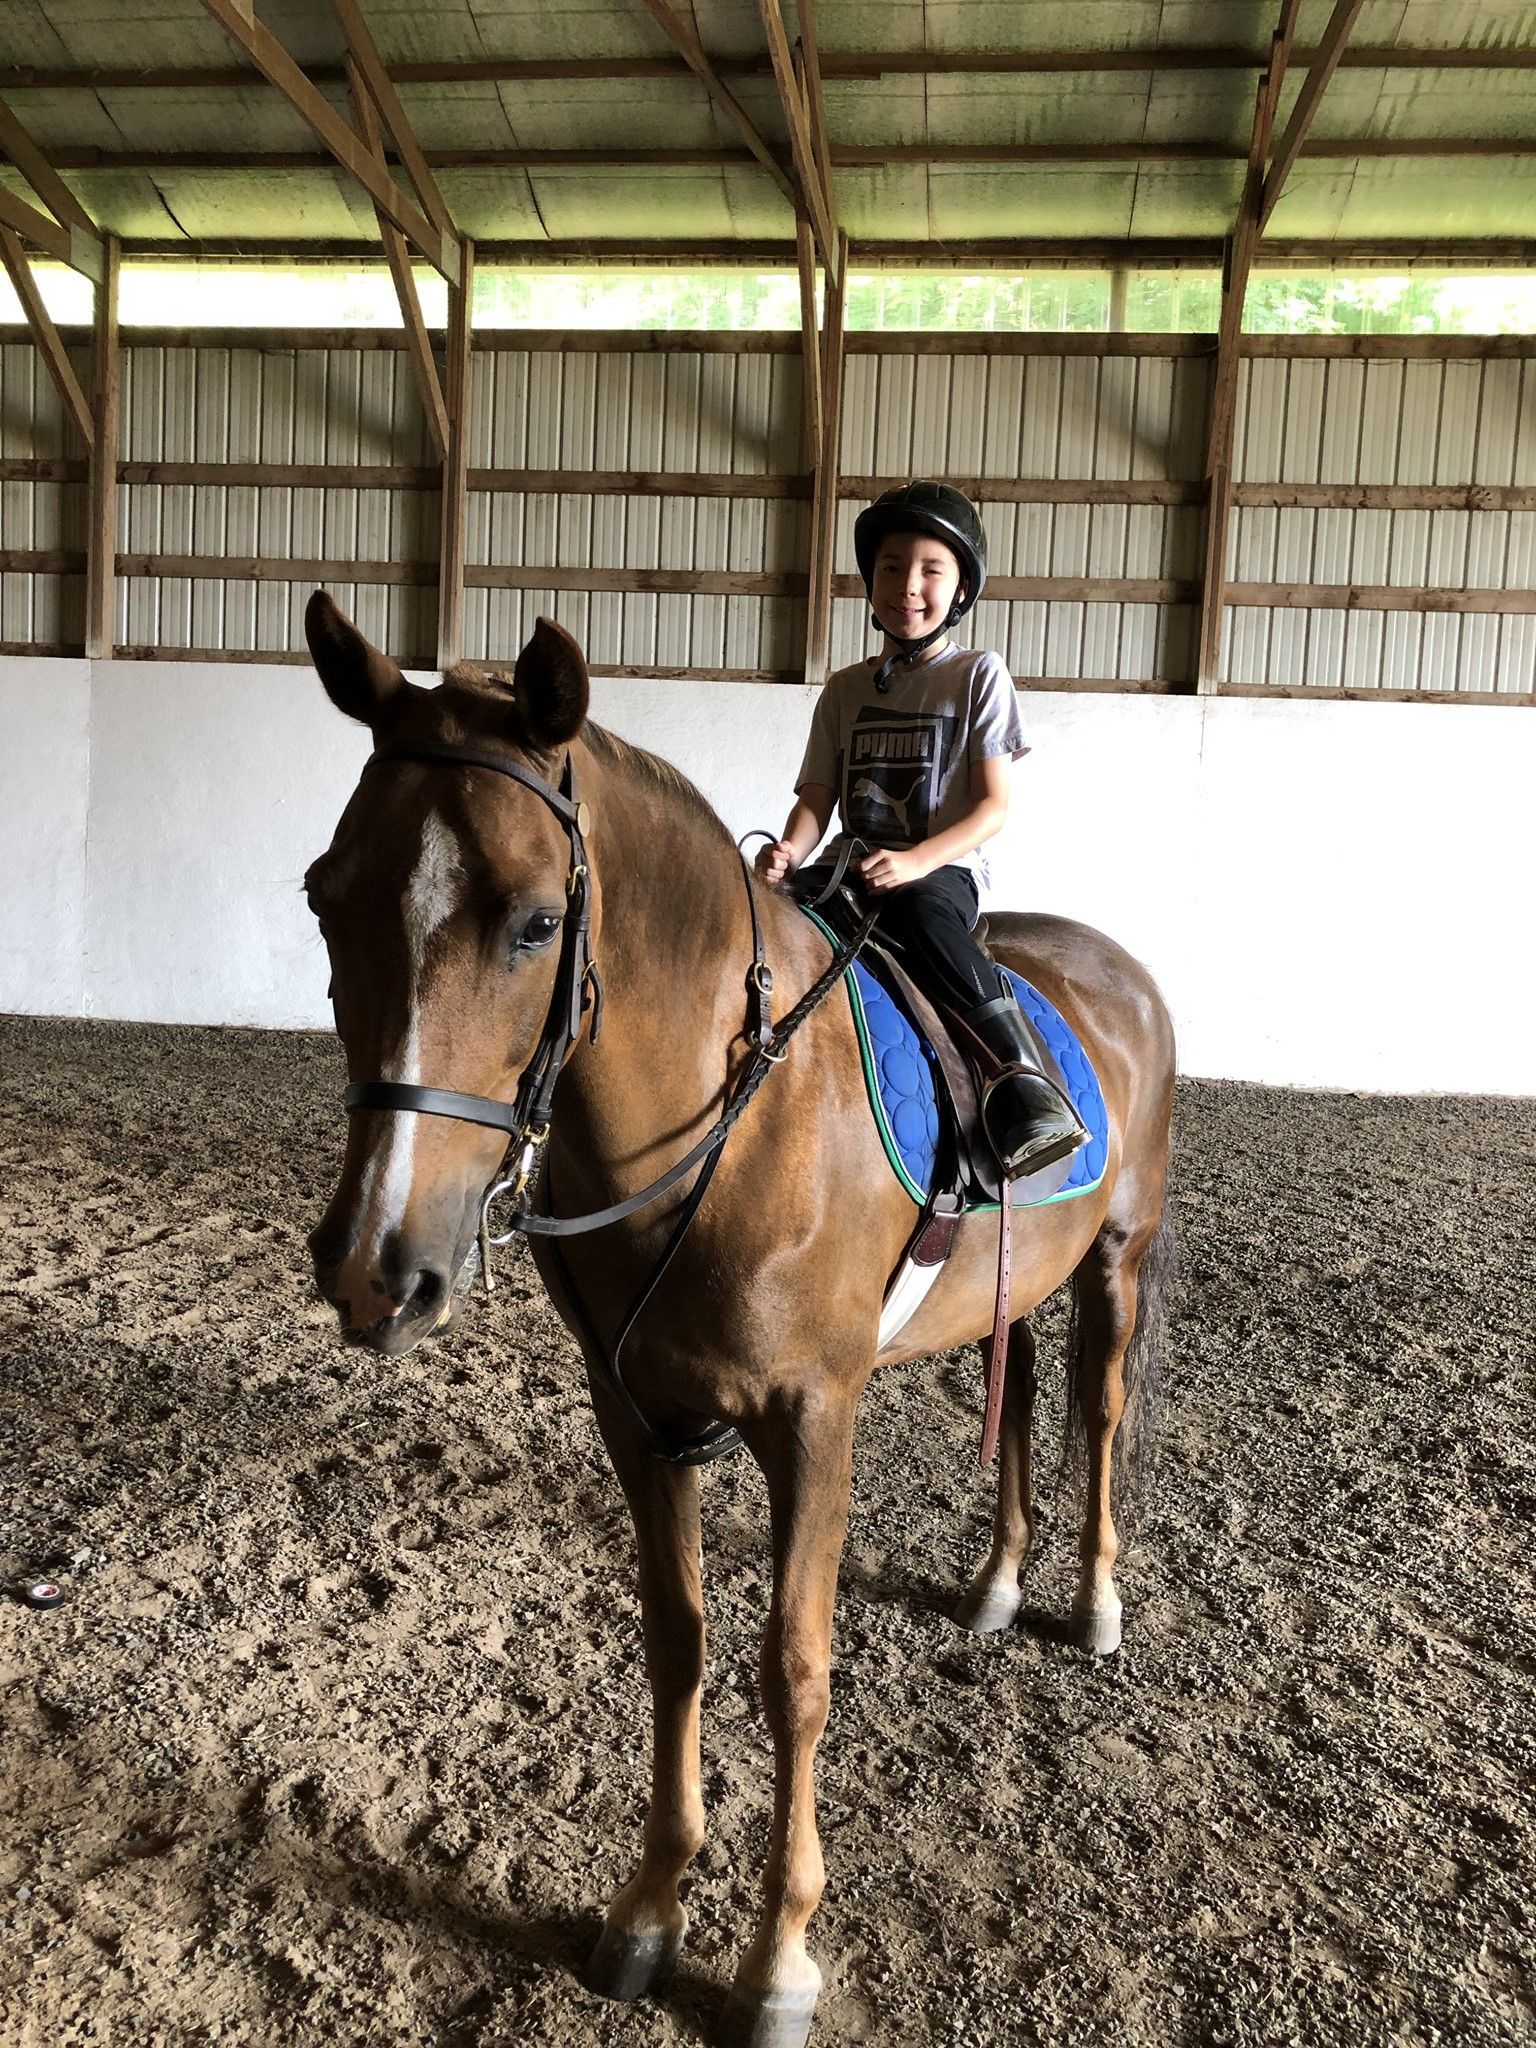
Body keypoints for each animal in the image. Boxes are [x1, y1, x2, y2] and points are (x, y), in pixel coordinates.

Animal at [300, 592, 1177, 2048]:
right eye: (325, 899)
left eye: (536, 923)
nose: (378, 1266)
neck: (729, 1111)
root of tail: (1117, 970)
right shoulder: (639, 1413)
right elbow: (678, 1643)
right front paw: (648, 1912)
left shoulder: (813, 1417)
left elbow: (794, 1669)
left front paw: (776, 1961)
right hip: (1016, 1280)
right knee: (1020, 1399)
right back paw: (998, 1585)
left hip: (1119, 1258)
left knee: (1099, 1414)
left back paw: (1093, 1604)